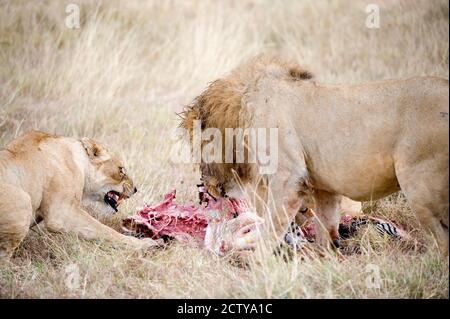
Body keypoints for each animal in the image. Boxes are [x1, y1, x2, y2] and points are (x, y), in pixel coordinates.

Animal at [0, 131, 158, 262]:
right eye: (121, 170)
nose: (136, 189)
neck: (80, 163)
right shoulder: (61, 213)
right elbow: (104, 230)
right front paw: (145, 244)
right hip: (23, 199)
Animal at [180, 55, 450, 255]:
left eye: (198, 149)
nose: (202, 186)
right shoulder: (325, 189)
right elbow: (326, 230)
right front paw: (325, 260)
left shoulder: (288, 177)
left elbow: (270, 230)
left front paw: (257, 266)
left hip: (419, 186)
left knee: (442, 243)